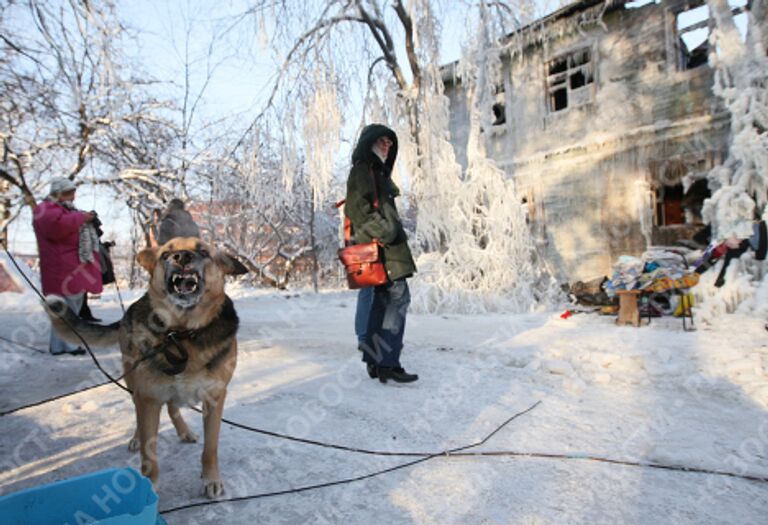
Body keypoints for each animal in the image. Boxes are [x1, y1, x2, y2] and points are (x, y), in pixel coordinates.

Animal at [45, 235, 248, 498]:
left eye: (203, 252)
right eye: (166, 254)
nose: (181, 257)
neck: (181, 334)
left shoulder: (214, 398)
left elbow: (210, 448)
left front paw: (211, 479)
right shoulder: (149, 398)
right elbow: (148, 453)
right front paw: (148, 486)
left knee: (172, 407)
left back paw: (184, 431)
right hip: (135, 384)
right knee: (141, 416)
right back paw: (137, 438)